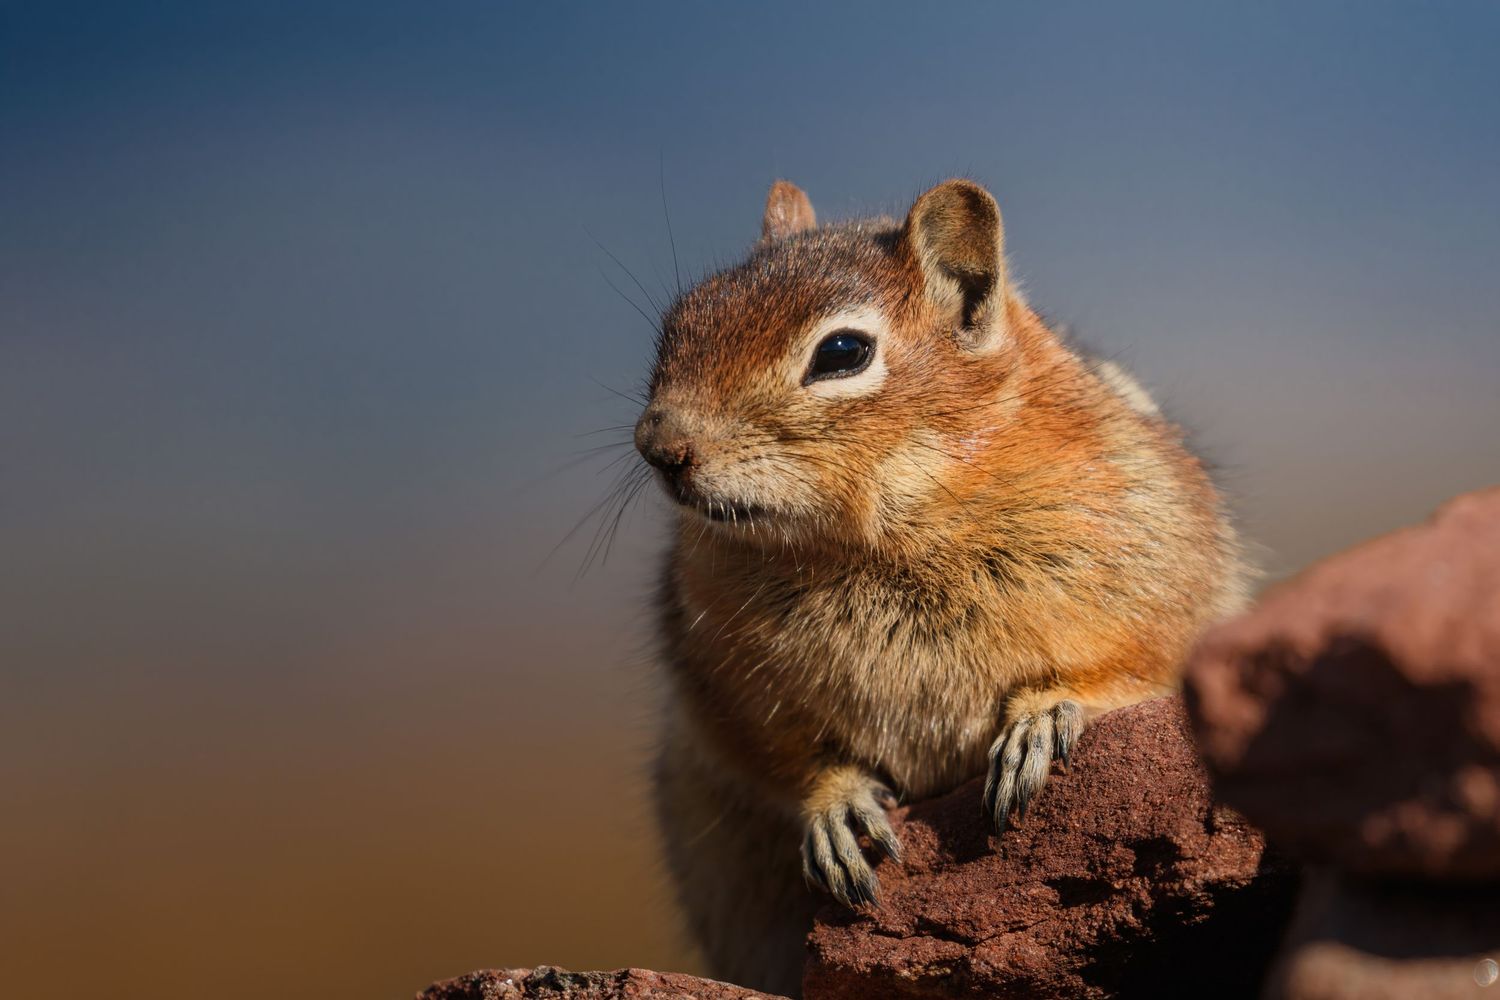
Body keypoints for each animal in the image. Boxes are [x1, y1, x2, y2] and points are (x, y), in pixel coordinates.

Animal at [634, 179, 1250, 997]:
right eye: (682, 319)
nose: (658, 446)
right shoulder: (721, 688)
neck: (876, 542)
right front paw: (835, 805)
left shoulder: (1164, 578)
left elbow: (1135, 668)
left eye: (842, 352)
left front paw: (1044, 716)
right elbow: (782, 757)